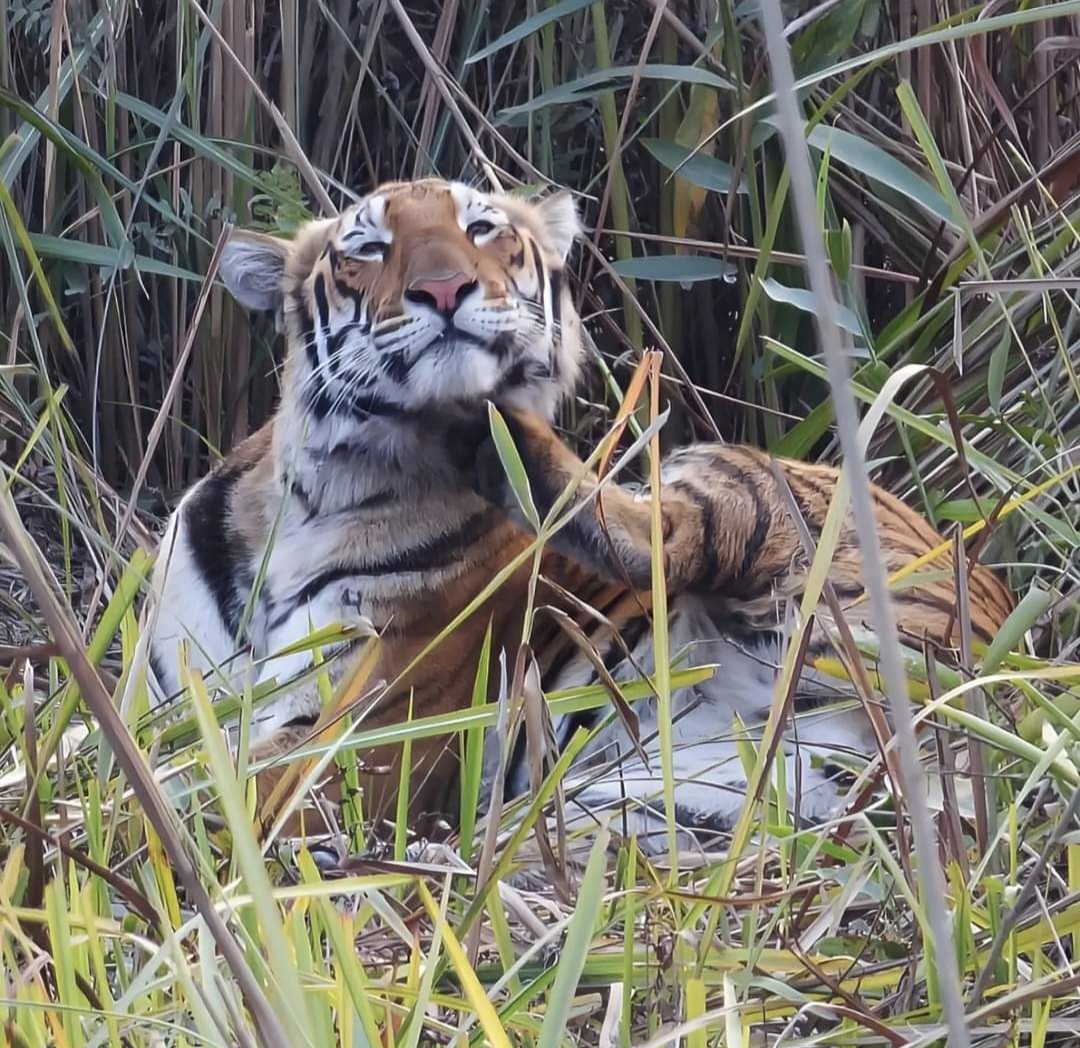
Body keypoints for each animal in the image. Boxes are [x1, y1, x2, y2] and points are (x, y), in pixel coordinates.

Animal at [143, 176, 1015, 866]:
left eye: (481, 230)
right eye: (369, 245)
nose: (445, 289)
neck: (313, 496)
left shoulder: (354, 728)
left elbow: (178, 794)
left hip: (749, 488)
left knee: (662, 533)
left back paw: (508, 446)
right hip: (669, 799)